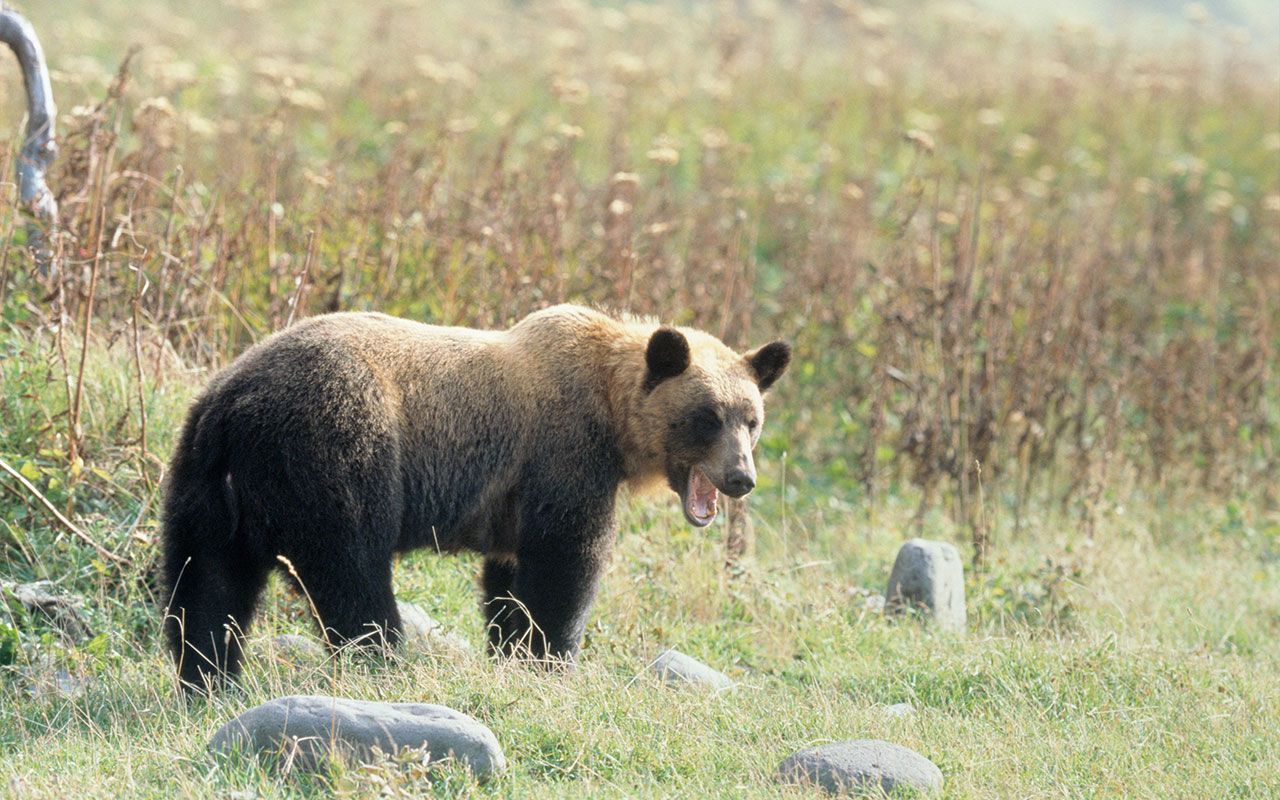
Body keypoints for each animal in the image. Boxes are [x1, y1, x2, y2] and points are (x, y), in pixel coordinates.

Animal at [161, 302, 788, 691]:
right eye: (707, 417)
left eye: (751, 419)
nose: (741, 478)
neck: (613, 418)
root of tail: (235, 407)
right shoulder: (563, 456)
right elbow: (566, 564)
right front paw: (553, 659)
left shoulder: (511, 500)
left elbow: (510, 583)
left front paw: (514, 652)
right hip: (335, 448)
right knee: (350, 572)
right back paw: (386, 663)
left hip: (205, 484)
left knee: (206, 585)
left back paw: (209, 678)